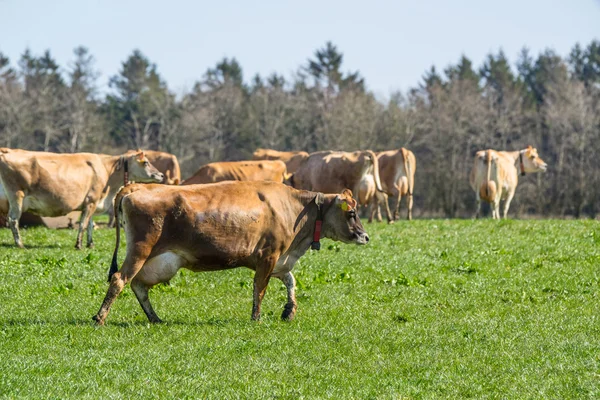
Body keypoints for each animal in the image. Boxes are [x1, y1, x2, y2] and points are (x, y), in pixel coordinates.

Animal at [0, 148, 163, 248]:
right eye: (146, 162)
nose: (161, 175)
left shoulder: (92, 202)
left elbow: (90, 224)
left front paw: (90, 244)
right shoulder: (91, 200)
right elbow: (83, 224)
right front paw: (78, 244)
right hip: (17, 196)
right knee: (13, 220)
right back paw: (20, 244)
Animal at [92, 181, 370, 324]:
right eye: (351, 213)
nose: (365, 236)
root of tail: (136, 186)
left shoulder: (280, 260)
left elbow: (291, 282)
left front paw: (289, 310)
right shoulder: (269, 255)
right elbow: (260, 289)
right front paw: (256, 317)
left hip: (159, 260)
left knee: (138, 285)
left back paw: (155, 318)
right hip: (141, 249)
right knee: (120, 279)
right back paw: (100, 317)